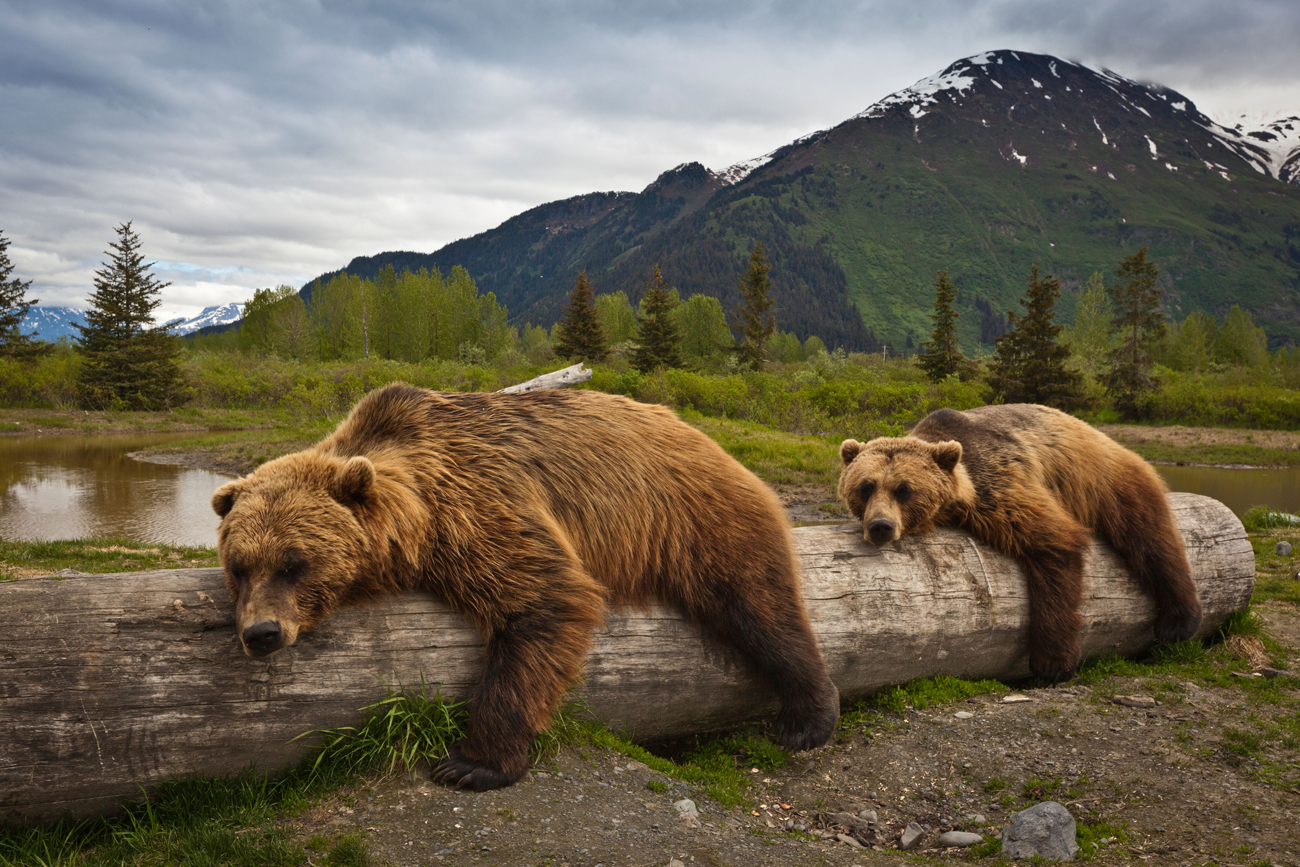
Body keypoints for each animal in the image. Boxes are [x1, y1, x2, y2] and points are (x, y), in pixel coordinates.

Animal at [210, 382, 842, 790]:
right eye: (239, 565)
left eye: (294, 562)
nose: (262, 632)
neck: (417, 516)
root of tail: (703, 435)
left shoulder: (479, 506)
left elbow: (544, 600)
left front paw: (472, 763)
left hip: (694, 514)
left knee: (758, 602)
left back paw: (808, 716)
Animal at [837, 402, 1201, 681]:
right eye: (866, 486)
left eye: (904, 489)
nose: (881, 526)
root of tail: (1102, 435)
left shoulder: (1000, 485)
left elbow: (1054, 542)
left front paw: (1052, 664)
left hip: (1103, 479)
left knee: (1148, 537)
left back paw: (1179, 622)